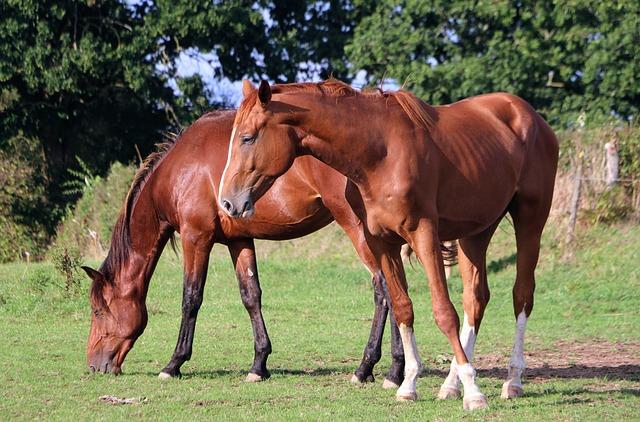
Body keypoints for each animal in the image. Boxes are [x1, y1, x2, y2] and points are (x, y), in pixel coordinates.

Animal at [81, 109, 410, 386]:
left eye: (98, 310)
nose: (94, 366)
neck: (180, 170)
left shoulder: (195, 239)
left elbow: (191, 298)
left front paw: (174, 364)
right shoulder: (238, 240)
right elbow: (251, 296)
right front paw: (258, 365)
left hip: (358, 229)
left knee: (384, 290)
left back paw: (375, 369)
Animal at [218, 78, 556, 408]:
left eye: (247, 138)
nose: (228, 202)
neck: (379, 154)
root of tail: (530, 115)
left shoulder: (423, 234)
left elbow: (443, 311)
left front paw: (474, 393)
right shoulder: (382, 243)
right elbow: (403, 307)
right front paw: (408, 384)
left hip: (530, 220)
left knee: (521, 296)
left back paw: (512, 381)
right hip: (476, 232)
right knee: (475, 299)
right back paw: (451, 384)